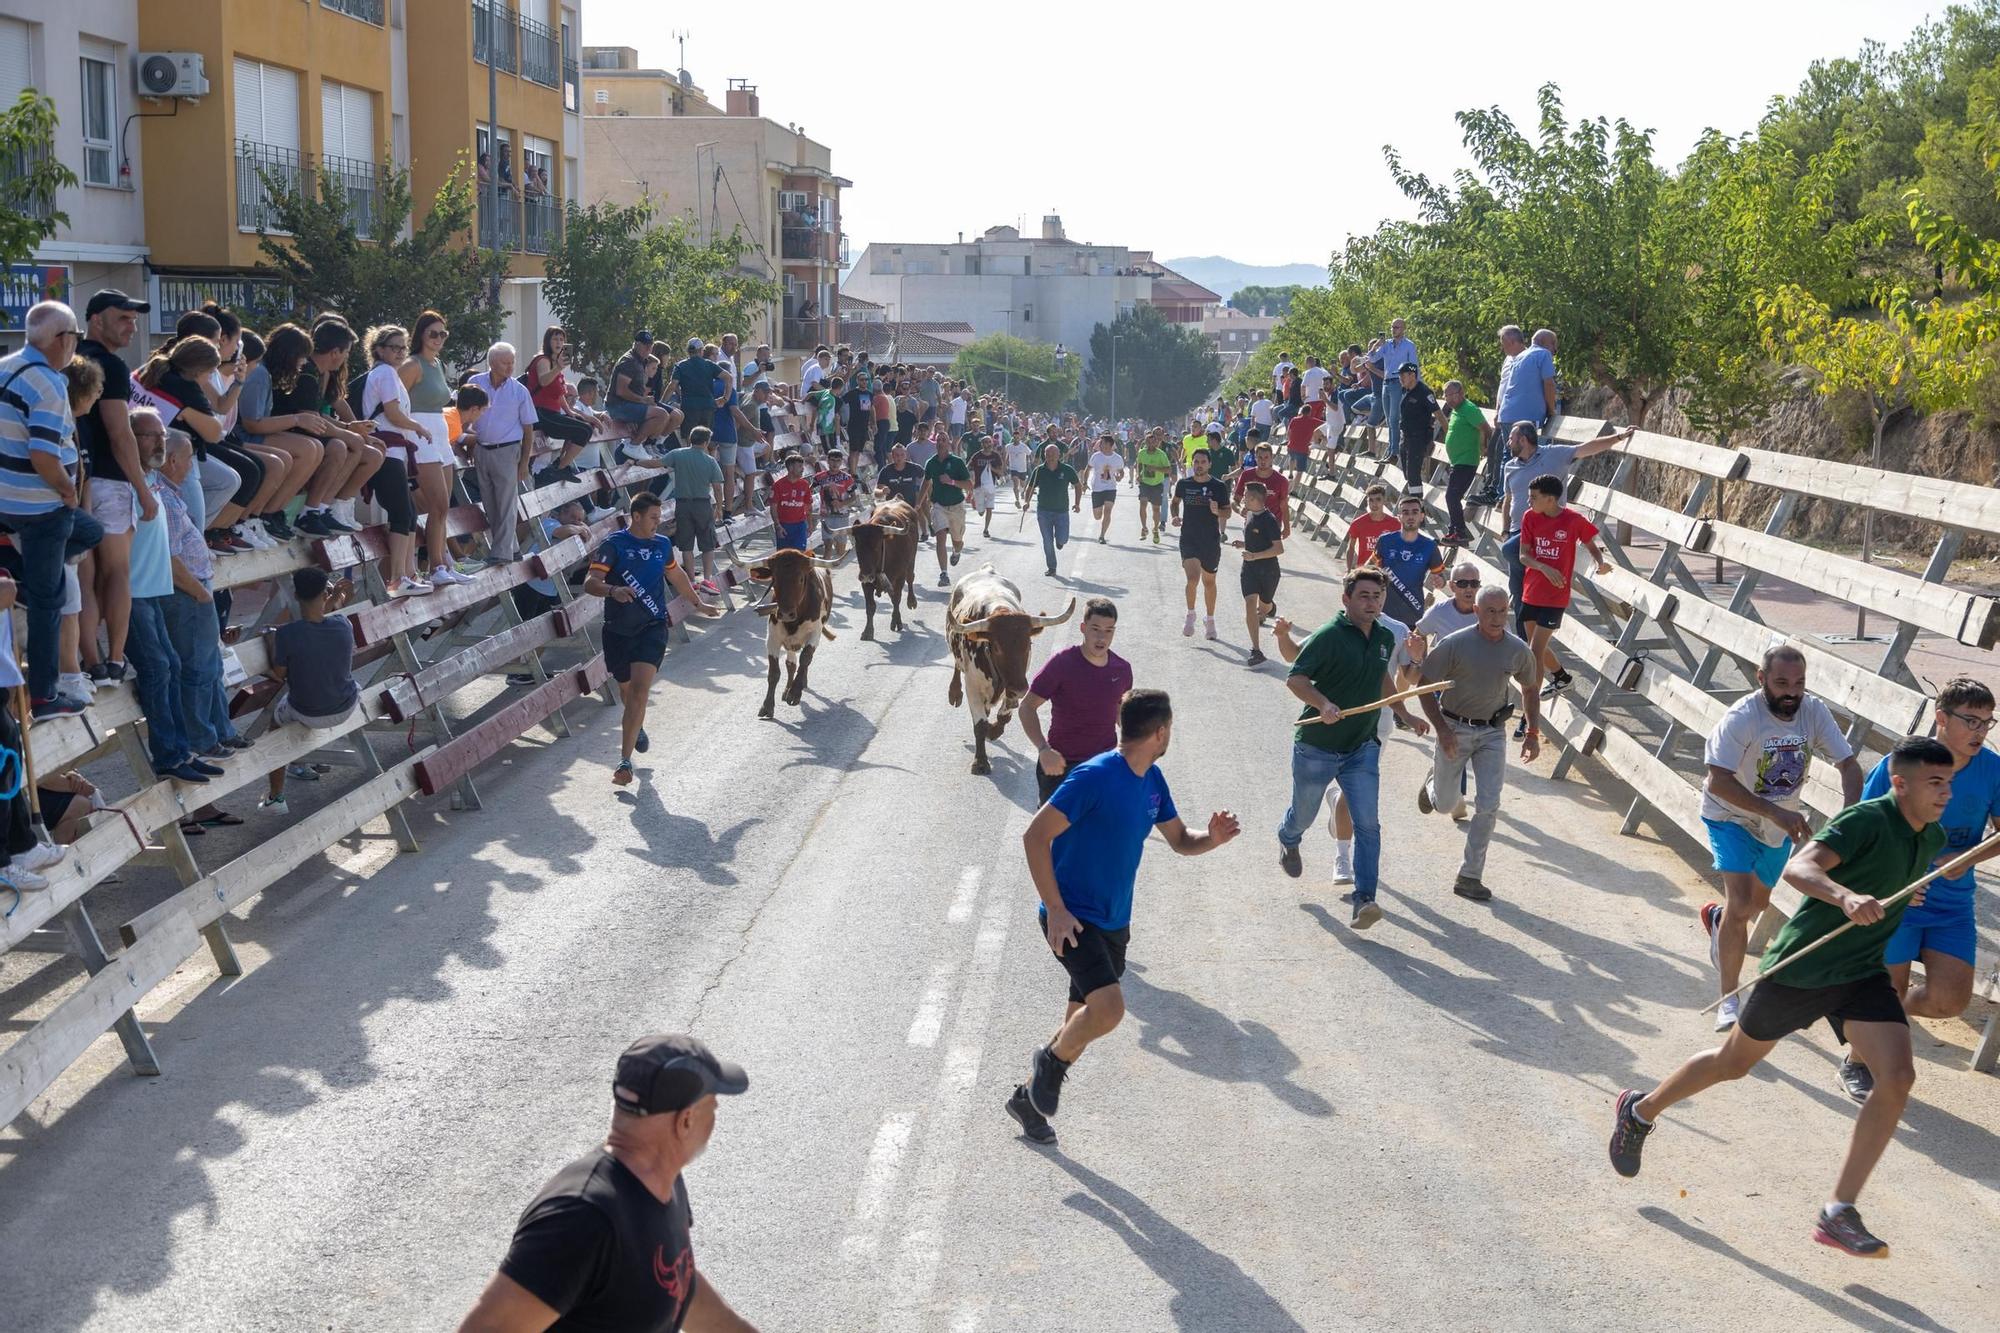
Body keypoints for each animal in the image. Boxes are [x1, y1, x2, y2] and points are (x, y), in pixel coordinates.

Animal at [752, 548, 844, 720]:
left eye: (801, 578)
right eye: (774, 578)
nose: (786, 614)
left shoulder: (815, 633)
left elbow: (806, 658)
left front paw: (795, 693)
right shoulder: (772, 638)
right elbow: (774, 673)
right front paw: (768, 706)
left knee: (803, 661)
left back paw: (799, 685)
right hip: (789, 643)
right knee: (791, 664)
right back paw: (787, 688)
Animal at [848, 498, 916, 644]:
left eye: (877, 545)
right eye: (857, 546)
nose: (866, 575)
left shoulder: (899, 578)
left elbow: (896, 599)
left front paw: (896, 622)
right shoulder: (866, 583)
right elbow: (870, 607)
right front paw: (868, 631)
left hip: (911, 562)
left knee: (911, 578)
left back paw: (912, 601)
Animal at [940, 564, 1072, 772]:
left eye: (1028, 644)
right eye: (996, 647)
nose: (1019, 688)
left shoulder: (1018, 681)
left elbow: (1005, 715)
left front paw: (994, 730)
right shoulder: (973, 686)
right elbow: (979, 725)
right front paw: (980, 762)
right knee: (956, 665)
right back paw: (954, 693)